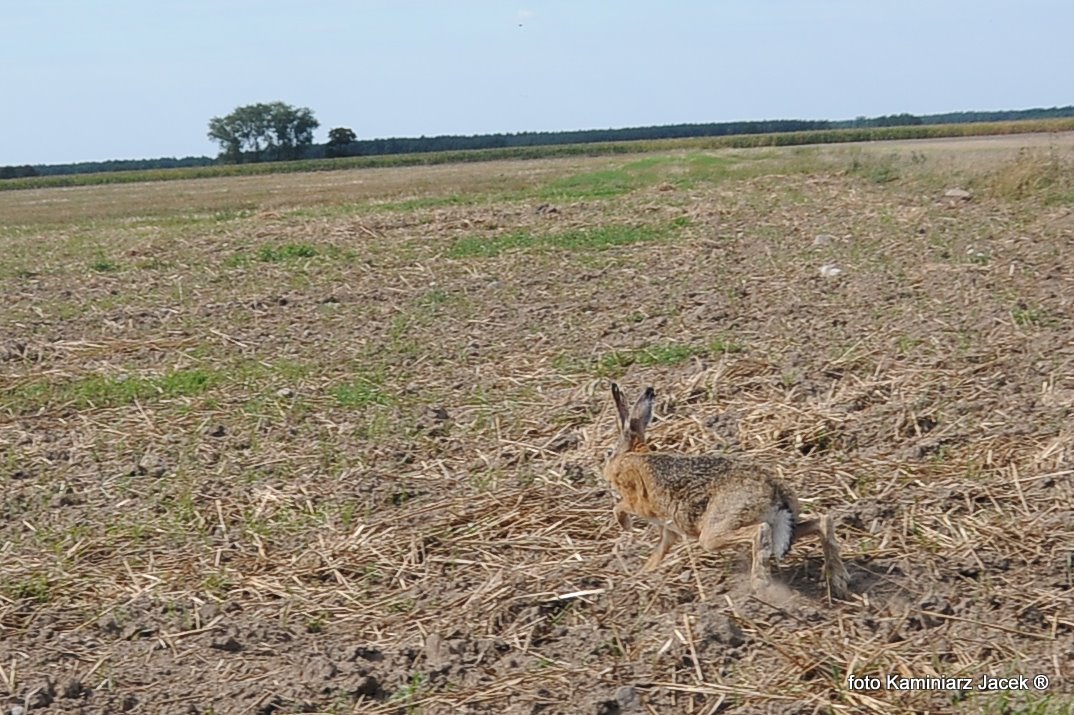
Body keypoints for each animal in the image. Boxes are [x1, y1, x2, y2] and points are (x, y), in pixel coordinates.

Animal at [603, 383, 849, 598]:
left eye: (608, 453)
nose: (605, 471)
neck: (631, 455)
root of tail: (775, 490)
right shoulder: (669, 530)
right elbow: (660, 550)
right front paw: (642, 574)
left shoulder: (637, 499)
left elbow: (621, 507)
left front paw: (626, 527)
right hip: (786, 526)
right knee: (822, 522)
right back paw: (838, 580)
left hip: (716, 531)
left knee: (759, 532)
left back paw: (760, 585)